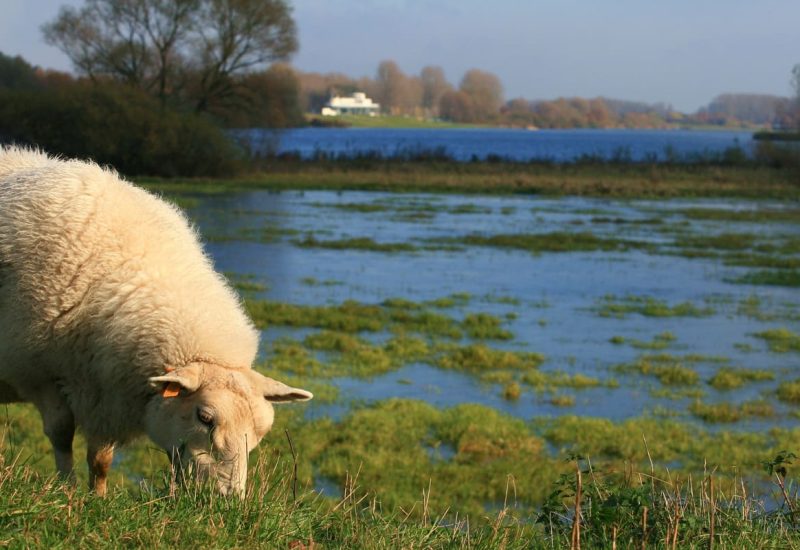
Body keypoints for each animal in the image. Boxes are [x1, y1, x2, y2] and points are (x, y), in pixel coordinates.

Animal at [0, 146, 310, 496]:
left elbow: (101, 458)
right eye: (204, 417)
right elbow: (62, 433)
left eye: (260, 431)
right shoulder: (37, 373)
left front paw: (97, 497)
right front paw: (66, 488)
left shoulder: (109, 389)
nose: (227, 500)